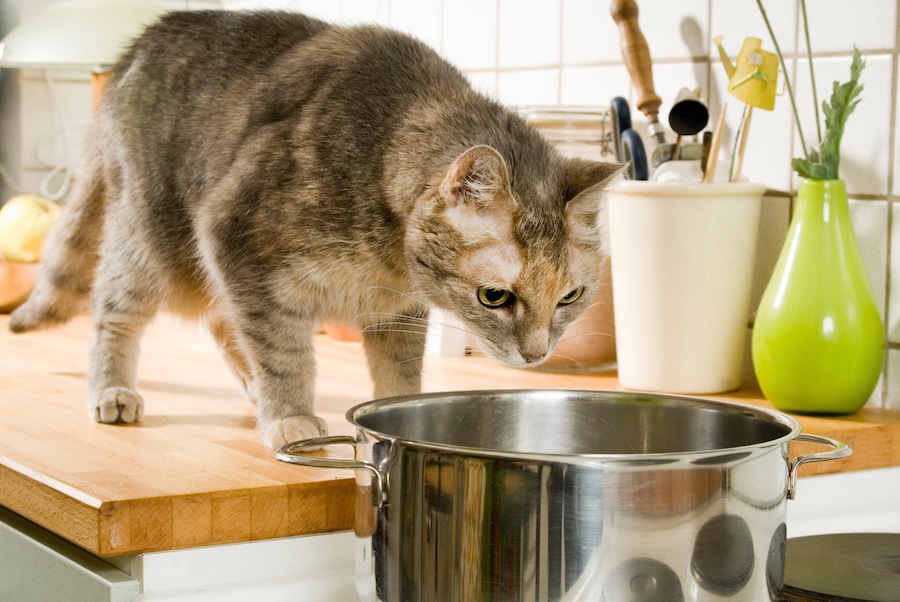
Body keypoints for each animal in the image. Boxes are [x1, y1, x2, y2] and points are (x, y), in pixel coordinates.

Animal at [10, 9, 624, 448]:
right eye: (494, 296)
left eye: (570, 296)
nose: (538, 355)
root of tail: (136, 45)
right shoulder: (236, 238)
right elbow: (285, 352)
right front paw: (290, 416)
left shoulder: (396, 309)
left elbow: (398, 368)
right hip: (149, 237)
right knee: (115, 310)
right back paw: (114, 389)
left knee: (220, 319)